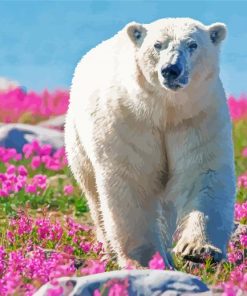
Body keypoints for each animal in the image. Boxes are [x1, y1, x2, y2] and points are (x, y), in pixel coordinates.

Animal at [64, 17, 236, 268]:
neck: (164, 110)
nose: (171, 70)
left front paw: (199, 249)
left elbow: (203, 172)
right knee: (94, 197)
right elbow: (132, 181)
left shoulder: (197, 118)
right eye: (157, 45)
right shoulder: (129, 121)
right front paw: (144, 259)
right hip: (77, 142)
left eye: (193, 44)